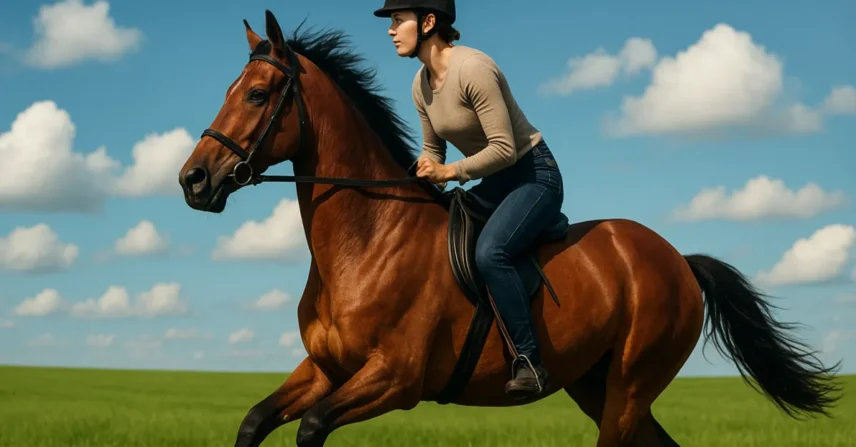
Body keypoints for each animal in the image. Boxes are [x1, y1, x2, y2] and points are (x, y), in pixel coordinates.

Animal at [177, 10, 841, 447]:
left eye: (257, 94)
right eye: (231, 90)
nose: (193, 180)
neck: (367, 241)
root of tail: (678, 259)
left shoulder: (394, 378)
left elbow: (311, 428)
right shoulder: (325, 368)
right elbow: (254, 420)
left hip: (628, 390)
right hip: (595, 384)